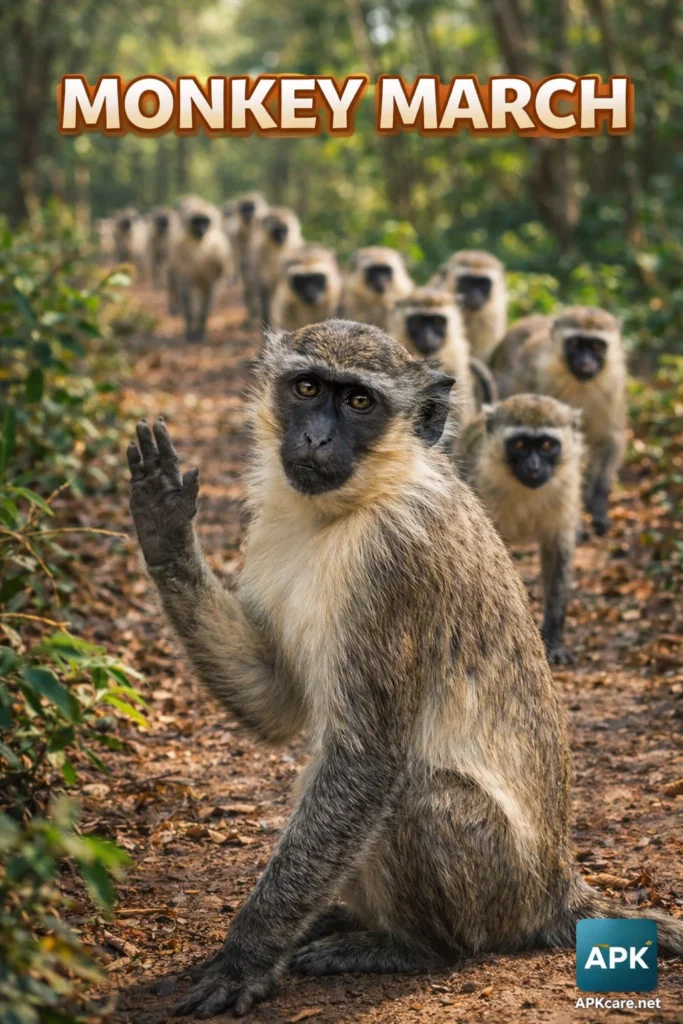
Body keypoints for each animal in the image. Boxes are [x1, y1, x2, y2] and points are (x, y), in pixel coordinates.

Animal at [168, 198, 232, 343]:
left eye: (205, 221)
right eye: (196, 221)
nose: (201, 229)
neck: (198, 245)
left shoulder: (216, 255)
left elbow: (208, 296)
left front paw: (201, 332)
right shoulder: (180, 254)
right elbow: (186, 293)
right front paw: (190, 331)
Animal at [490, 307, 627, 536]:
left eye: (596, 346)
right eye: (574, 344)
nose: (585, 363)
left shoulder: (614, 386)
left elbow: (609, 439)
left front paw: (598, 504)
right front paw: (577, 523)